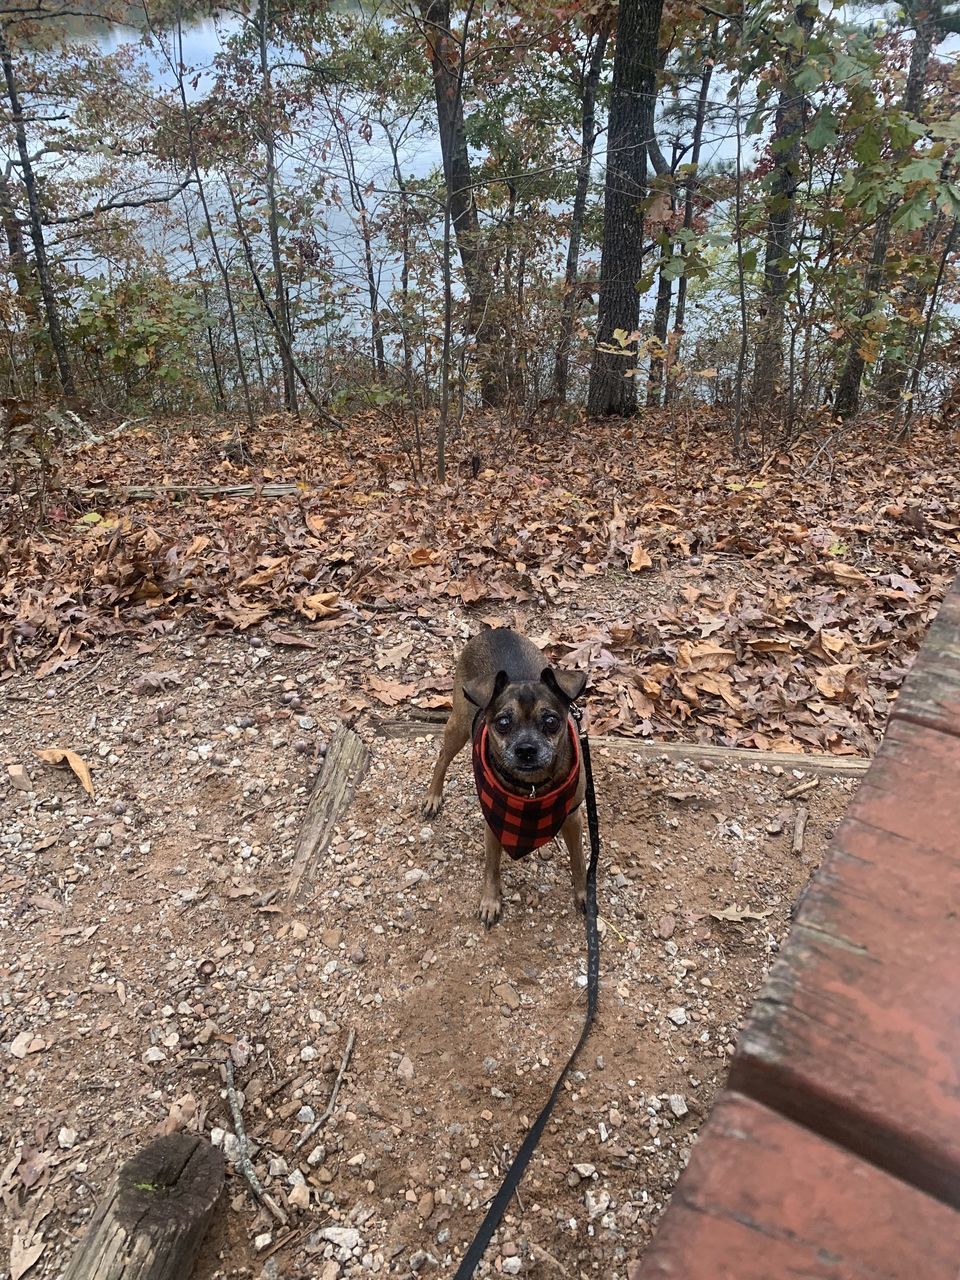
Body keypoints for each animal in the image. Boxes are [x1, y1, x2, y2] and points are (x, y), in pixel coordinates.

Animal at [424, 627, 591, 921]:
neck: (532, 790)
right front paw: (491, 900)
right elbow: (492, 866)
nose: (526, 749)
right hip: (458, 726)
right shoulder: (495, 823)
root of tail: (494, 630)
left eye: (551, 721)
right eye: (502, 723)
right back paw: (434, 796)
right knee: (442, 758)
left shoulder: (572, 817)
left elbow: (579, 860)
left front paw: (583, 895)